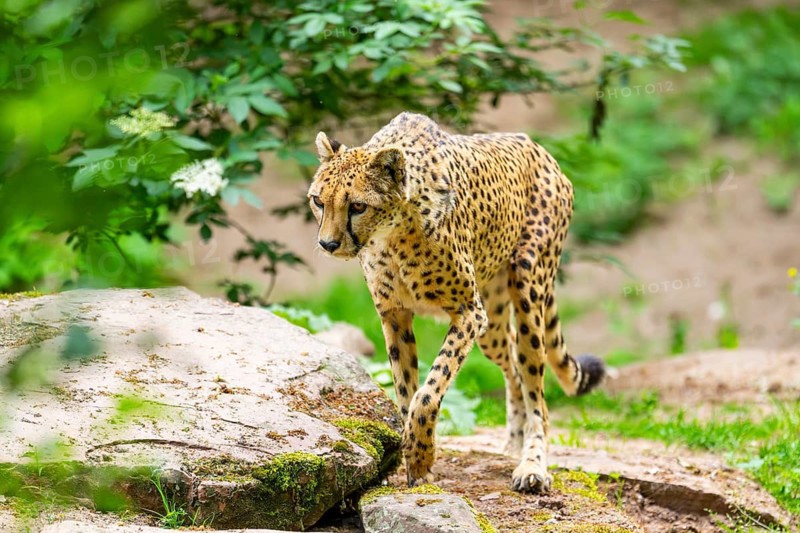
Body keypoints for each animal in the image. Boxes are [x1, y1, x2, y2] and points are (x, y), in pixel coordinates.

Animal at [307, 112, 605, 493]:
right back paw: (513, 441)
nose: (328, 244)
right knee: (512, 362)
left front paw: (420, 456)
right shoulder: (395, 315)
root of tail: (536, 147)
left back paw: (532, 464)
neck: (392, 235)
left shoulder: (468, 313)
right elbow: (405, 391)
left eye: (357, 206)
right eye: (318, 201)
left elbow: (428, 392)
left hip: (527, 289)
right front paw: (413, 460)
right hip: (492, 322)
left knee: (536, 387)